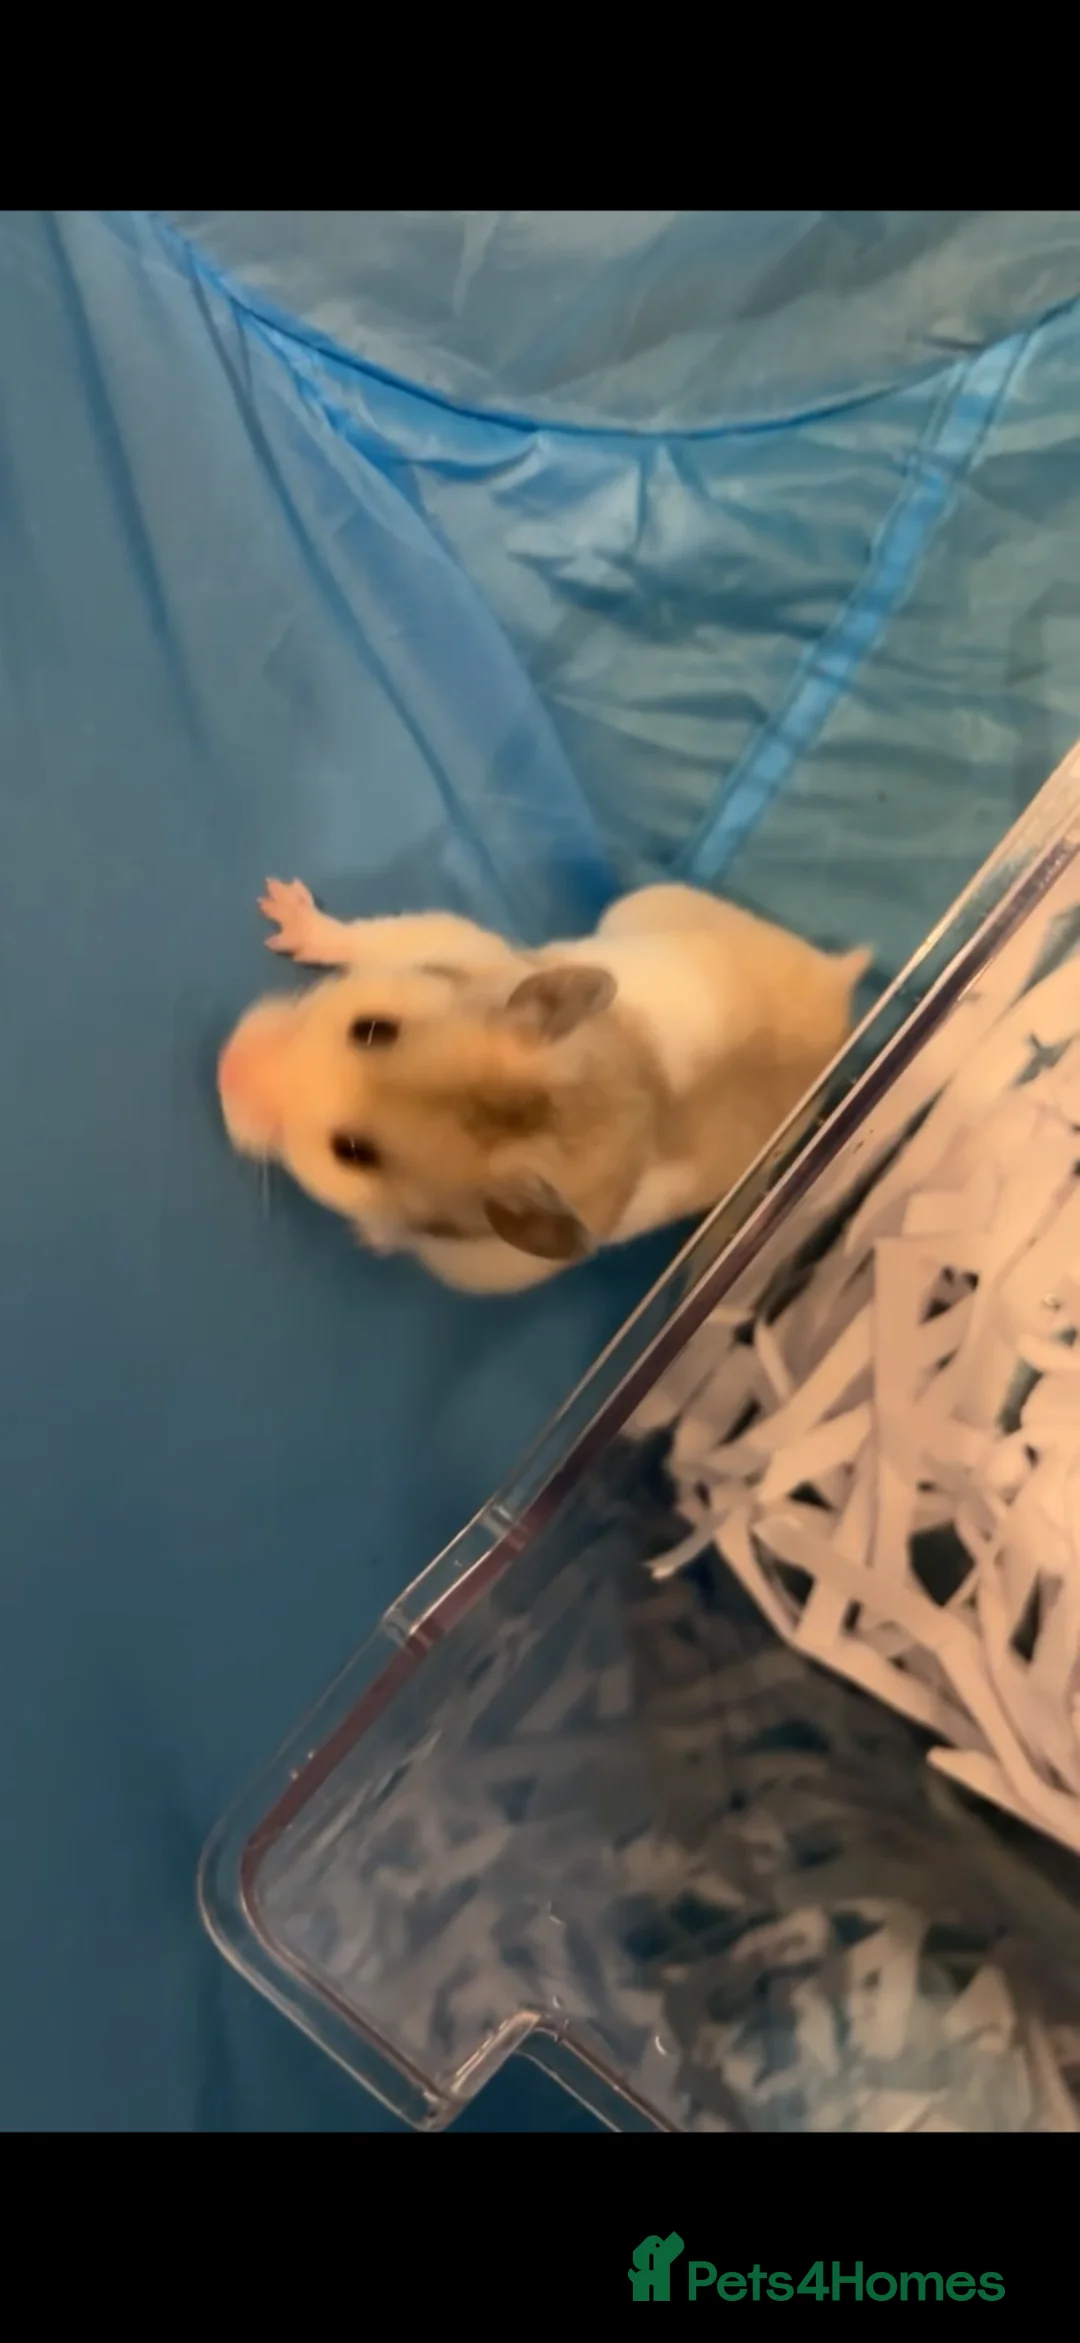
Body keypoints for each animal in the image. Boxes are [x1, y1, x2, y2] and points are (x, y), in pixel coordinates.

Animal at [218, 876, 870, 1294]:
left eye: (351, 1153)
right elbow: (381, 937)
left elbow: (398, 1235)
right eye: (373, 1028)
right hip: (650, 904)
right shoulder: (460, 947)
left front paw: (369, 1234)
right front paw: (282, 905)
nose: (225, 1069)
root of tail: (843, 991)